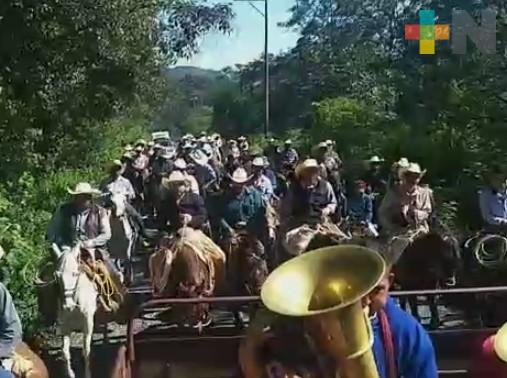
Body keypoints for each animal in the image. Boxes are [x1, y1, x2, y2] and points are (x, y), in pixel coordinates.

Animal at [54, 242, 97, 378]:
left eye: (74, 274)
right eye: (57, 276)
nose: (68, 306)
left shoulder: (88, 324)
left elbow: (87, 351)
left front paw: (88, 374)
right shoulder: (65, 327)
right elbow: (65, 352)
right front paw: (70, 373)